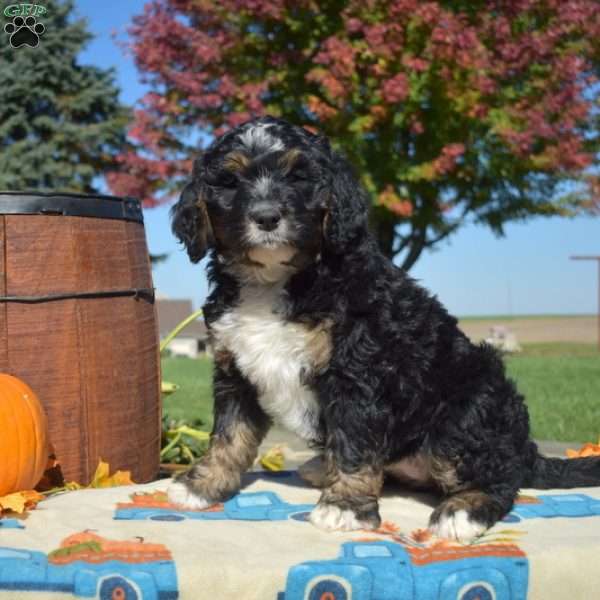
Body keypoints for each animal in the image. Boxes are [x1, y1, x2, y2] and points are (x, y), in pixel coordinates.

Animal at [168, 115, 600, 540]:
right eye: (230, 182)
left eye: (299, 177)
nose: (266, 216)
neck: (276, 278)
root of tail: (523, 448)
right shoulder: (235, 370)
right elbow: (229, 434)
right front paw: (201, 485)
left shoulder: (358, 371)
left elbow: (354, 443)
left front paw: (344, 506)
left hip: (467, 411)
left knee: (500, 477)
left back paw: (463, 511)